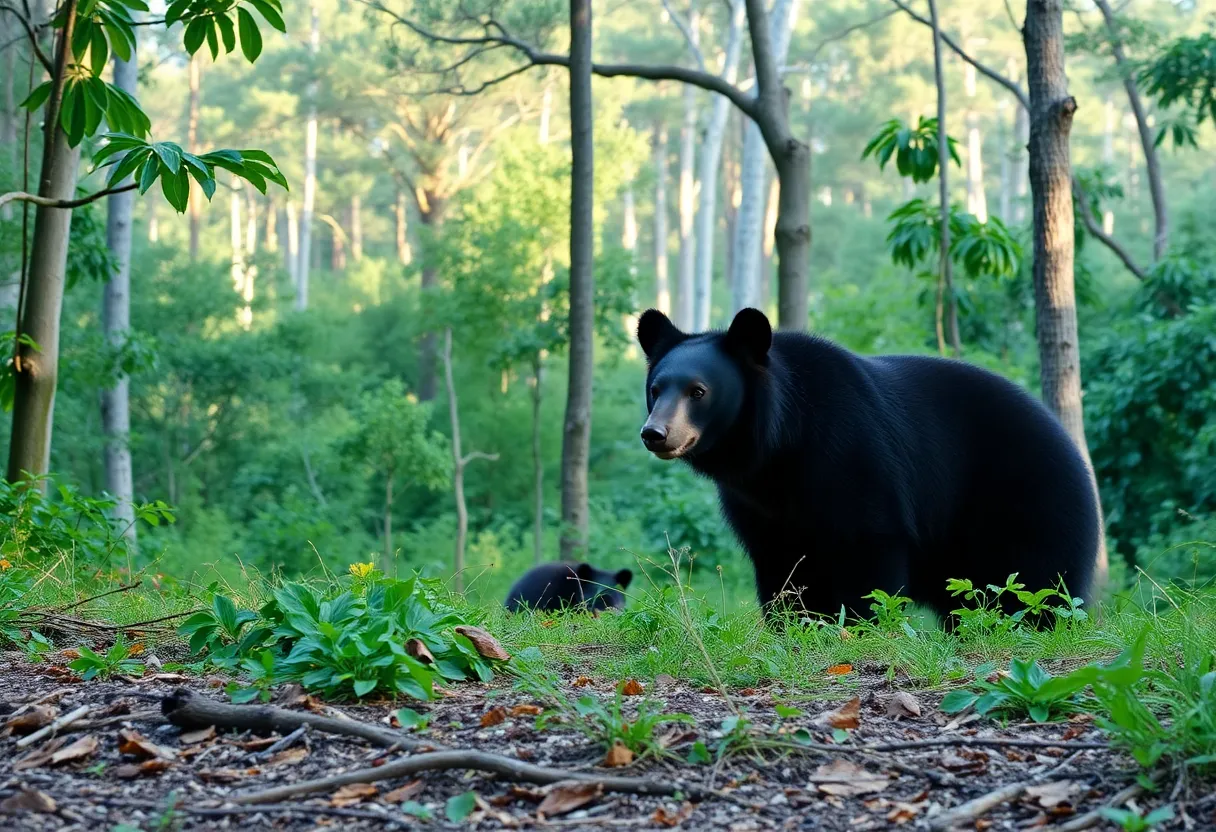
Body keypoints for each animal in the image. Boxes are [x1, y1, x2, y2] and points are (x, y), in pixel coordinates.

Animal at [636, 307, 1099, 624]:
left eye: (698, 391)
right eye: (656, 388)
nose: (655, 433)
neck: (777, 450)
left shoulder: (853, 454)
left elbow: (870, 549)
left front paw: (858, 625)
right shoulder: (756, 503)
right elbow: (779, 566)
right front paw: (792, 626)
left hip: (1030, 502)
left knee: (1035, 582)